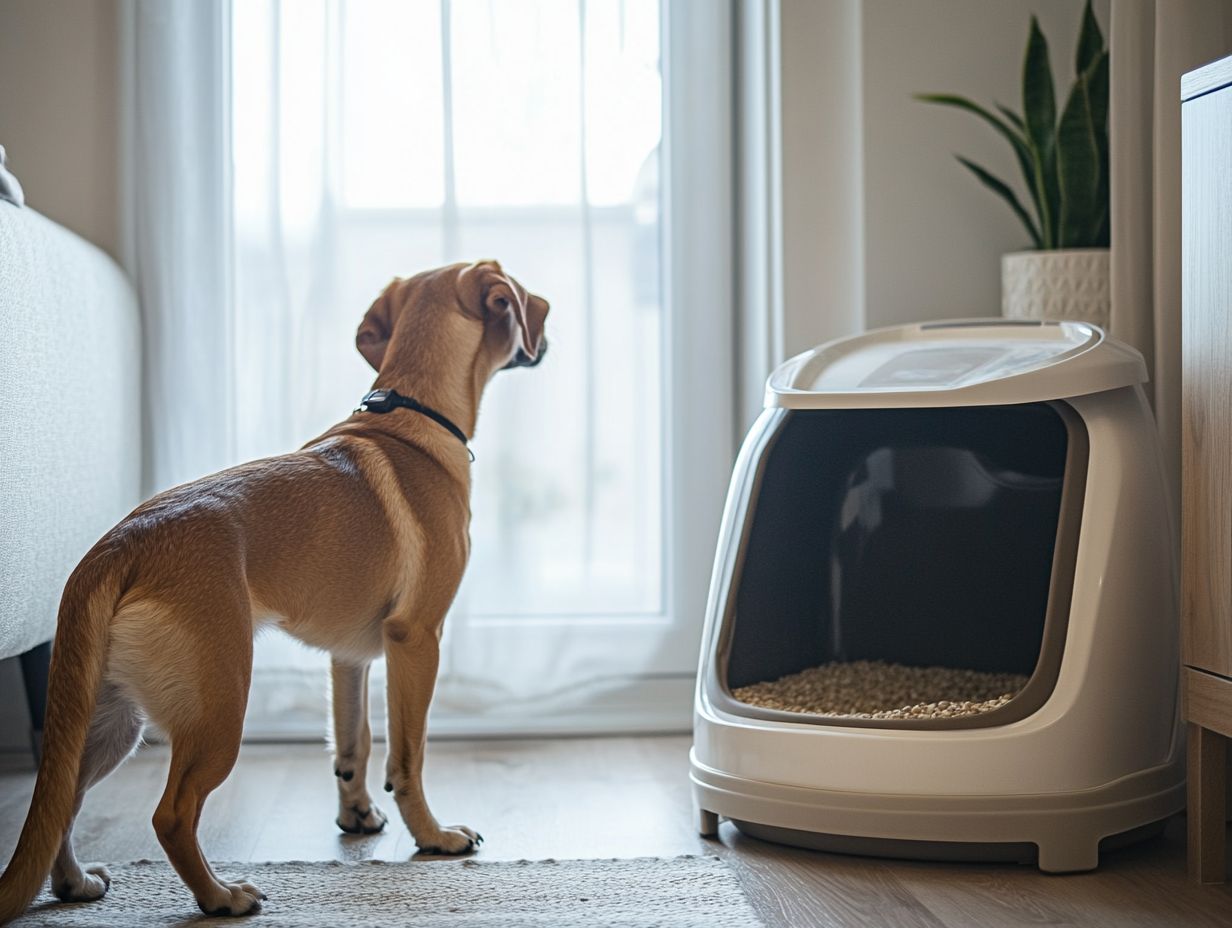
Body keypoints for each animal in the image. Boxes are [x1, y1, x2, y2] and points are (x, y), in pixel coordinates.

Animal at [0, 261, 549, 921]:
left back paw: (75, 883)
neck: (410, 418)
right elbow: (407, 754)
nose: (547, 336)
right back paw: (219, 896)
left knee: (63, 801)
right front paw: (433, 836)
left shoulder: (350, 658)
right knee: (171, 814)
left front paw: (357, 817)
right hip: (217, 710)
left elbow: (353, 743)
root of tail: (119, 546)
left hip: (110, 720)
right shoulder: (416, 639)